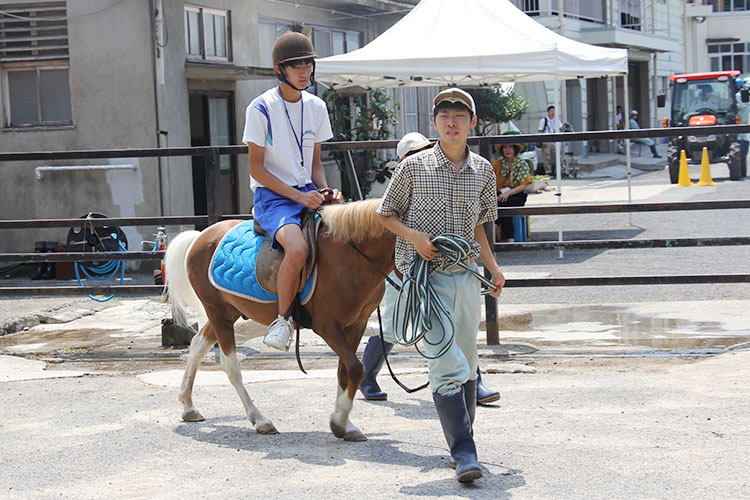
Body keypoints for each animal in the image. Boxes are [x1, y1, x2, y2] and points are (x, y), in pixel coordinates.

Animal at [164, 199, 396, 442]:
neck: (351, 256)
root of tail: (199, 237)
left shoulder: (356, 324)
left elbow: (346, 369)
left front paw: (345, 424)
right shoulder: (327, 326)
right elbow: (355, 367)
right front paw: (340, 421)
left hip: (228, 312)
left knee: (197, 345)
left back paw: (188, 406)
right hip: (218, 312)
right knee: (230, 365)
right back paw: (260, 420)